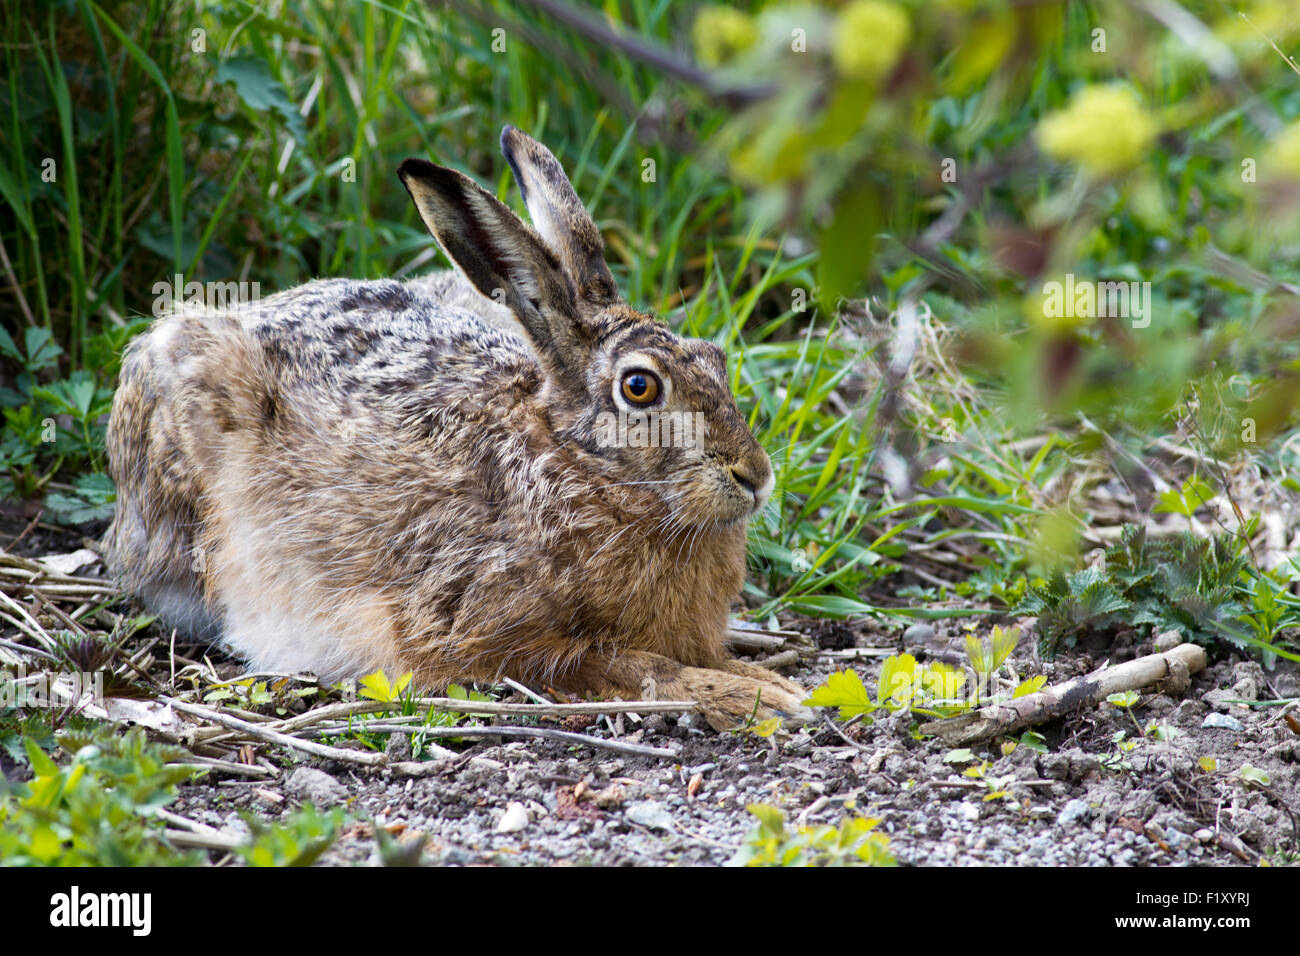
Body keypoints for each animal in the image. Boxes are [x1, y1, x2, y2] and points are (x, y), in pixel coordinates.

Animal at [104, 126, 810, 731]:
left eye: (716, 358)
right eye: (640, 388)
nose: (756, 476)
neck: (580, 469)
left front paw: (769, 682)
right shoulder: (488, 636)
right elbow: (634, 665)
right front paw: (762, 698)